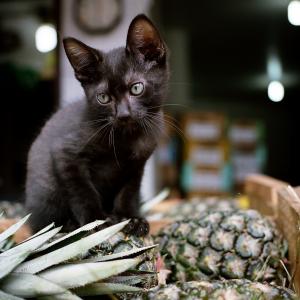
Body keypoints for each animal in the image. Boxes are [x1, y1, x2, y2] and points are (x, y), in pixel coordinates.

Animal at [25, 14, 169, 237]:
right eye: (104, 98)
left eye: (136, 88)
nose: (123, 114)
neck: (127, 138)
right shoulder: (65, 155)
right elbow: (83, 192)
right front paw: (97, 222)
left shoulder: (137, 165)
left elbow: (128, 193)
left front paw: (131, 219)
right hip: (45, 192)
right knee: (43, 222)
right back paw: (69, 225)